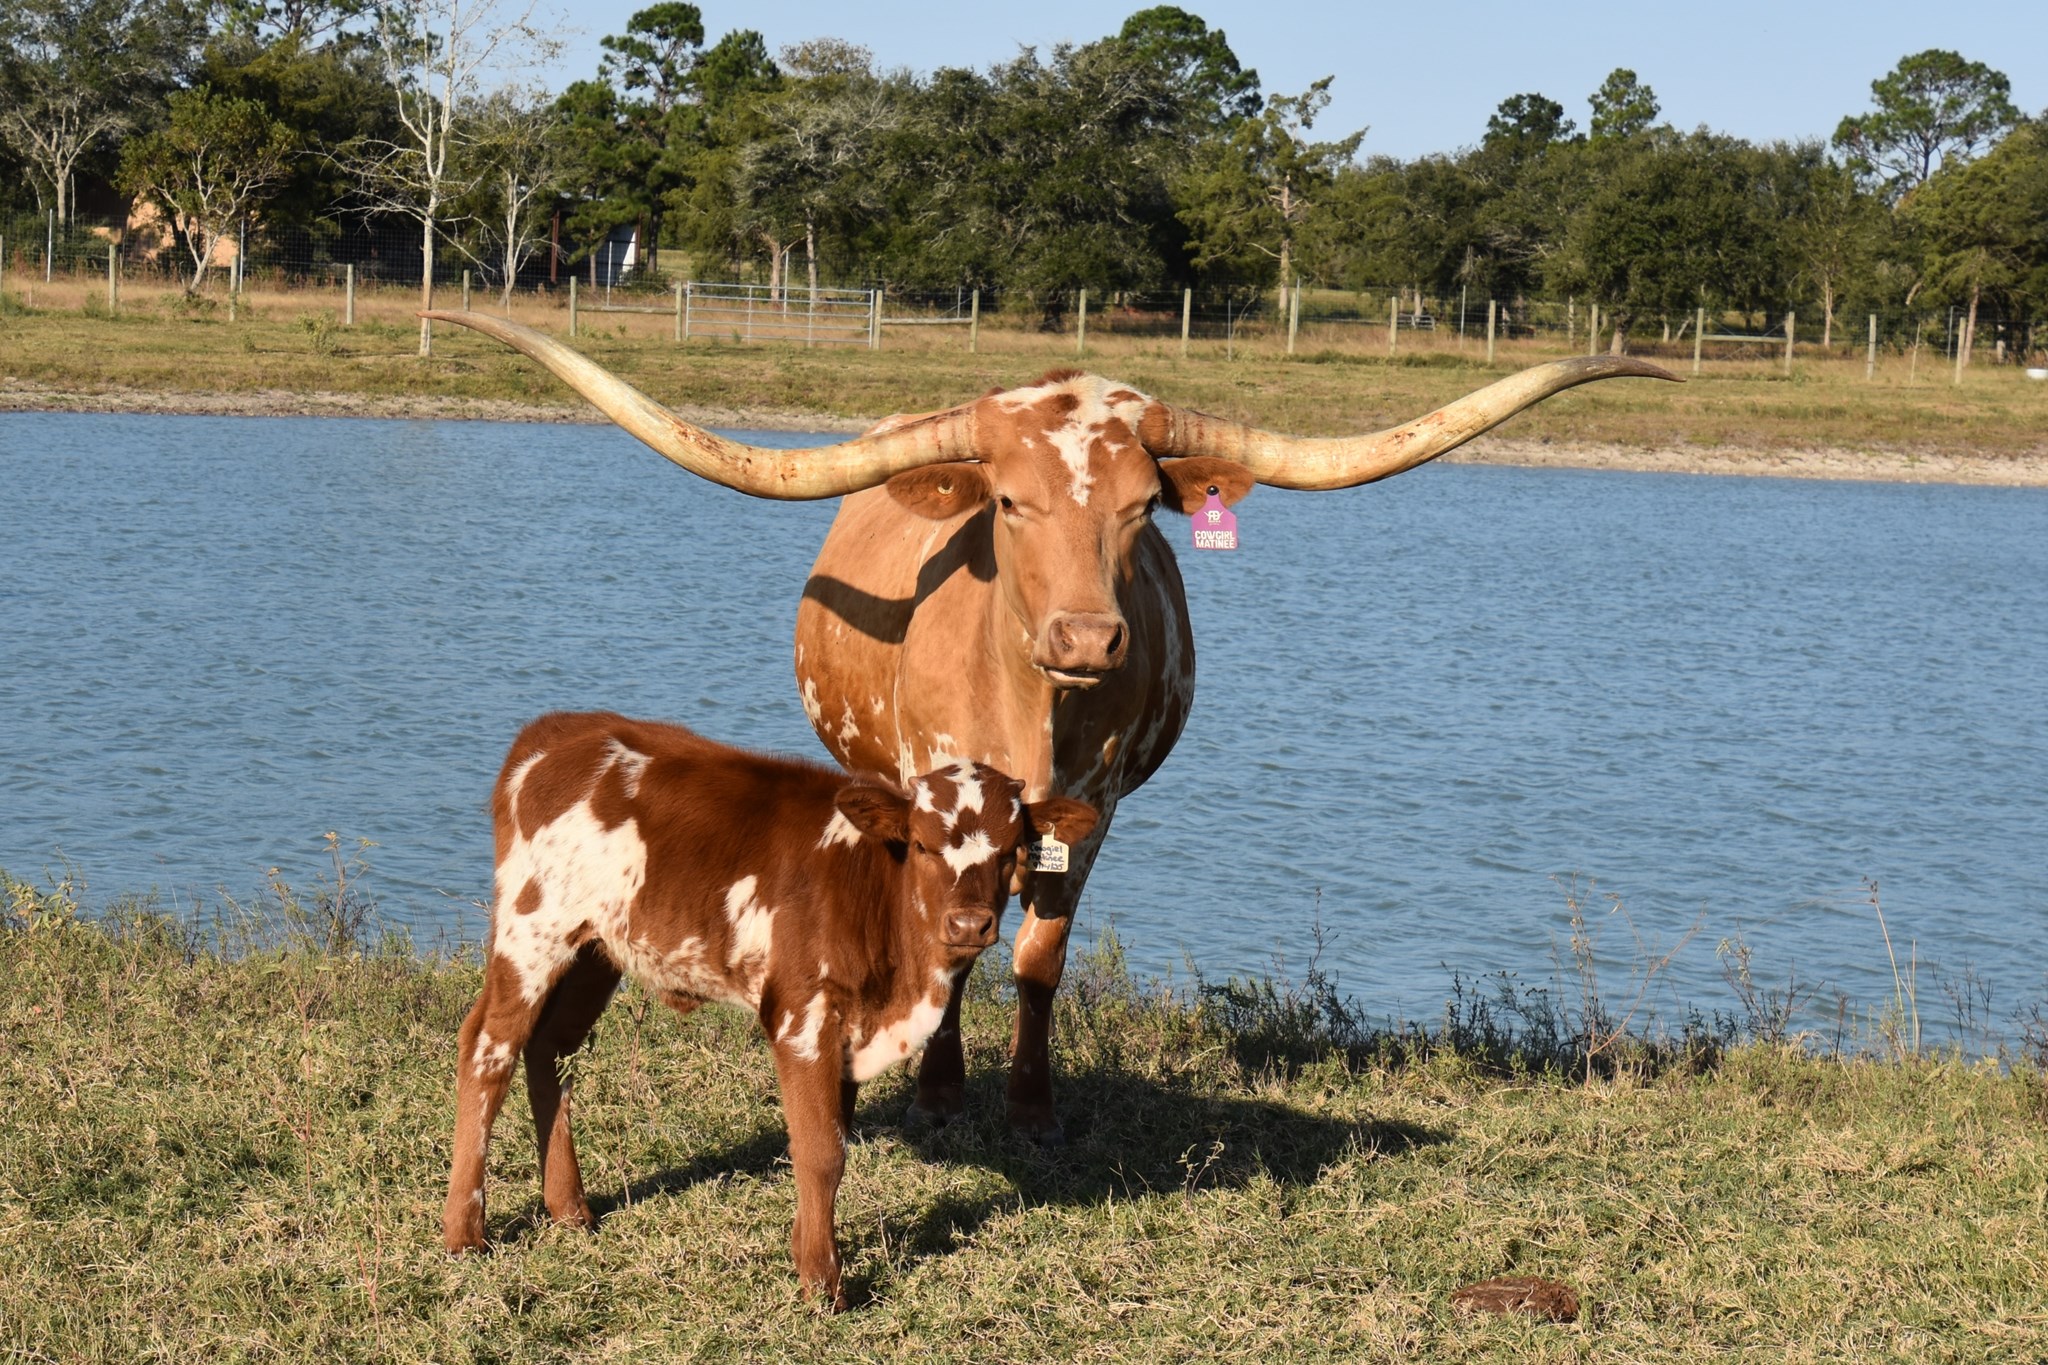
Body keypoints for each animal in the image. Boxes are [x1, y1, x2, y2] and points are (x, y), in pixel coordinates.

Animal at [424, 309, 1676, 1141]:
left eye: (1137, 511)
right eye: (1012, 503)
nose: (1084, 638)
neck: (1034, 707)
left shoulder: (1097, 805)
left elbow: (1039, 954)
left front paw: (1028, 1095)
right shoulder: (929, 784)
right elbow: (944, 941)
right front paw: (936, 1080)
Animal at [441, 709, 1098, 1309]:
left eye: (1013, 851)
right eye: (920, 844)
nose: (968, 923)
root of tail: (557, 730)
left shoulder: (848, 1032)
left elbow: (829, 1140)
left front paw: (807, 1253)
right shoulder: (801, 1015)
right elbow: (821, 1151)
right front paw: (823, 1285)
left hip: (595, 949)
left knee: (549, 1047)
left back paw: (569, 1208)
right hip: (532, 932)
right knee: (487, 1049)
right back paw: (465, 1233)